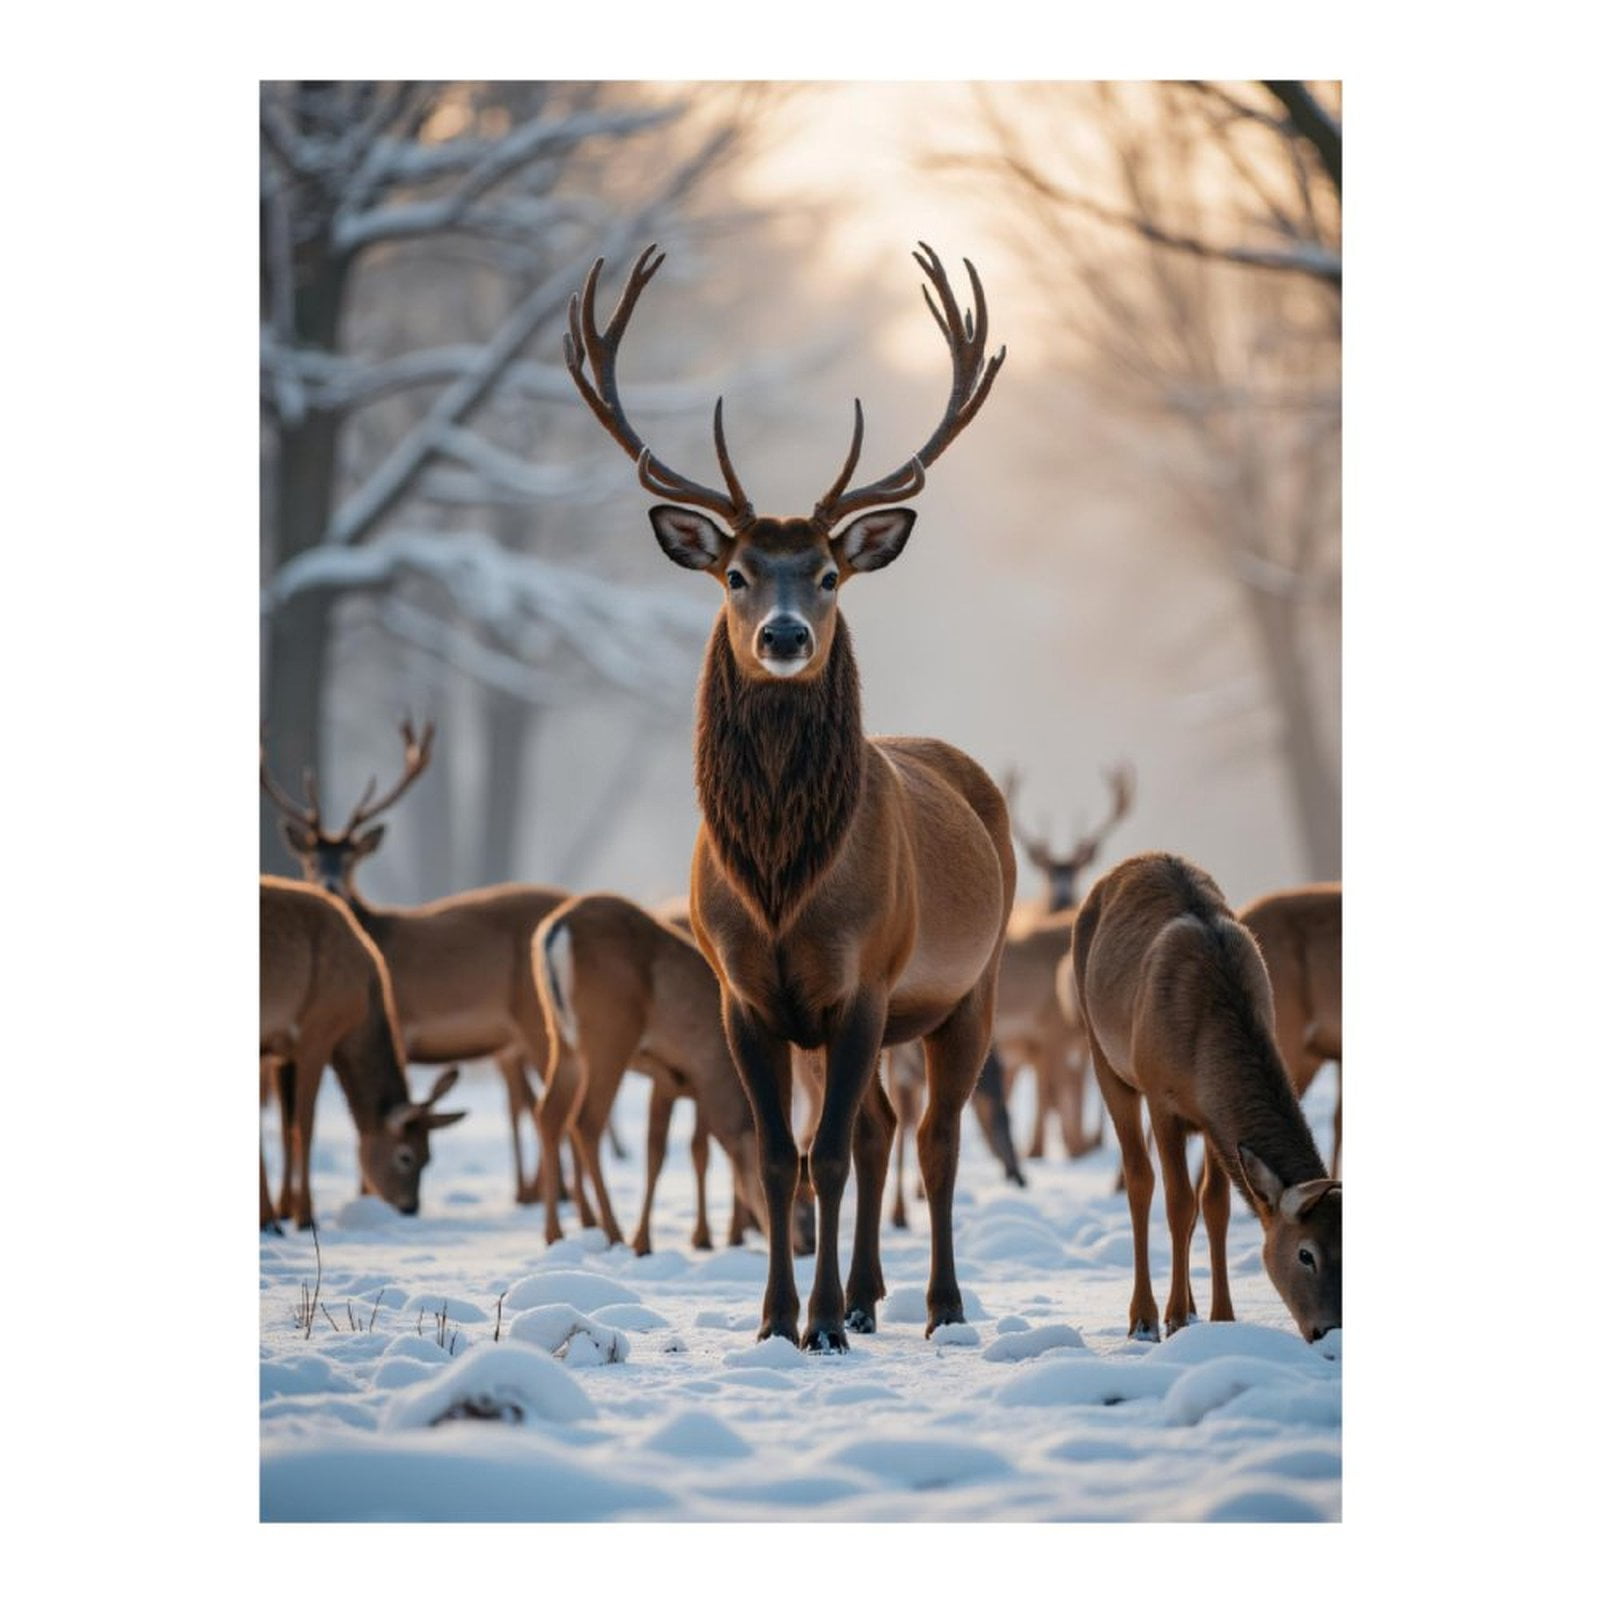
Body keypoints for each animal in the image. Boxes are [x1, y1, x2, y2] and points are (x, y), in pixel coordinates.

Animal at [260, 876, 465, 1229]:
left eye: (429, 1157)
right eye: (406, 1156)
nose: (409, 1208)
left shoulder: (279, 1051)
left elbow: (286, 1130)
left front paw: (284, 1210)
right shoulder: (317, 1031)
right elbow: (304, 1127)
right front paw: (304, 1217)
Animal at [531, 891, 768, 1257]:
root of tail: (557, 930)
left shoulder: (673, 1081)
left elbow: (668, 1151)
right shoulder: (701, 1077)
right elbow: (698, 1151)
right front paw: (714, 1237)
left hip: (563, 1040)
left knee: (548, 1115)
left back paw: (555, 1234)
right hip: (609, 1037)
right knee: (585, 1122)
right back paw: (613, 1233)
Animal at [564, 241, 1015, 1349]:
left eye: (826, 573)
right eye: (734, 572)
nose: (782, 636)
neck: (779, 883)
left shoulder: (864, 979)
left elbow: (830, 1155)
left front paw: (817, 1328)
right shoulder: (746, 994)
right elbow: (783, 1156)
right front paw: (776, 1320)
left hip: (970, 985)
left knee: (934, 1136)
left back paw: (938, 1303)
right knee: (885, 1127)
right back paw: (864, 1292)